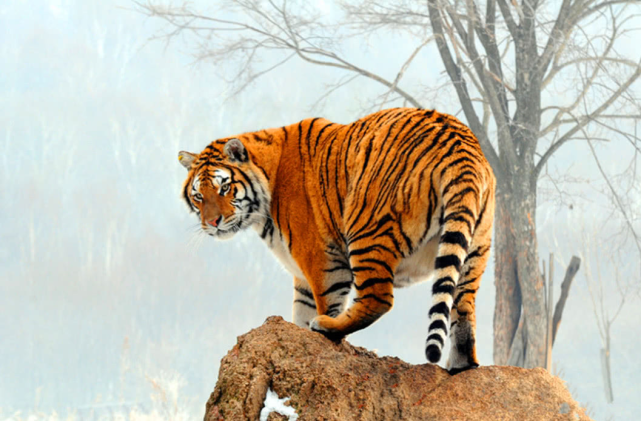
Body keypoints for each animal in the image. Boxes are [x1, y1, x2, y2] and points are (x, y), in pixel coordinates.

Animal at [179, 106, 496, 372]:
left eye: (224, 188)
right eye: (198, 195)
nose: (212, 223)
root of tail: (462, 146)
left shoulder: (322, 260)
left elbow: (323, 302)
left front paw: (318, 334)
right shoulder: (303, 277)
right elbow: (300, 311)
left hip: (366, 230)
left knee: (379, 297)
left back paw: (328, 326)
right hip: (475, 250)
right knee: (463, 307)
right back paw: (462, 366)